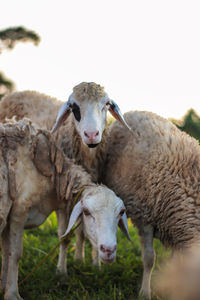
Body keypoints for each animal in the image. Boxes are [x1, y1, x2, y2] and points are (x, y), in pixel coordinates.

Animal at [0, 118, 131, 300]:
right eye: (87, 212)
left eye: (121, 213)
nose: (109, 250)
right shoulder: (20, 209)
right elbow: (15, 254)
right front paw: (12, 294)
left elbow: (8, 251)